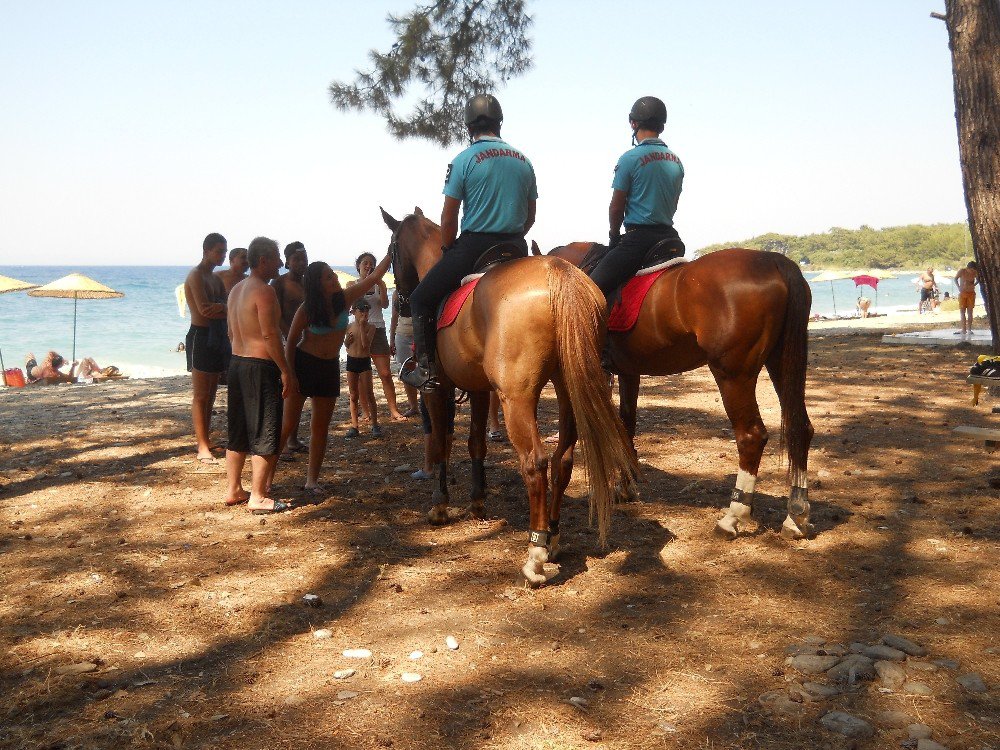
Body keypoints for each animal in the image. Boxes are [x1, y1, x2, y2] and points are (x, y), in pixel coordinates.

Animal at [378, 209, 636, 584]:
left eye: (392, 251)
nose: (400, 300)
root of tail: (557, 272)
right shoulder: (479, 389)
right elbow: (476, 444)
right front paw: (477, 501)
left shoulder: (438, 389)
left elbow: (441, 443)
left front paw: (440, 505)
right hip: (567, 387)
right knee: (562, 459)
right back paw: (553, 537)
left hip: (517, 399)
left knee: (535, 463)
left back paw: (536, 554)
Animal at [540, 244, 812, 544]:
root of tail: (773, 260)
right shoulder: (628, 372)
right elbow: (626, 423)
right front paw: (626, 485)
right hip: (781, 362)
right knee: (801, 427)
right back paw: (796, 516)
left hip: (732, 374)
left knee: (751, 436)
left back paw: (733, 516)